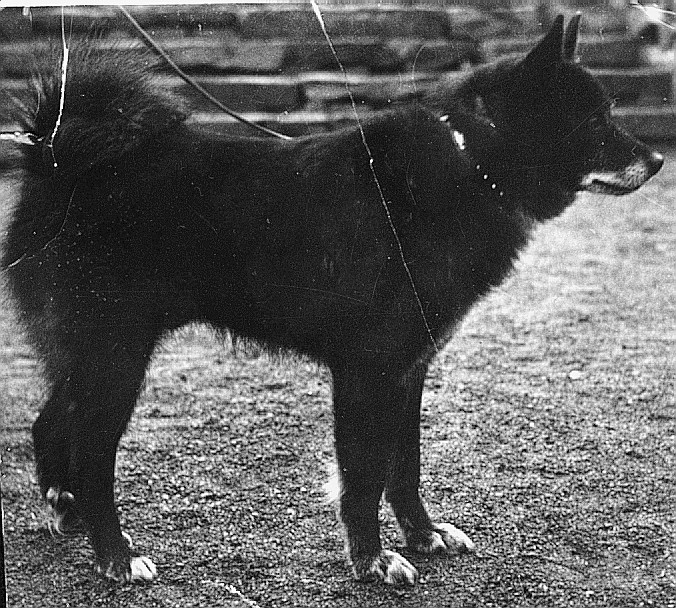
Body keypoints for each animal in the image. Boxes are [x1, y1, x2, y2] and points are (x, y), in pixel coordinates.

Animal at [1, 15, 663, 586]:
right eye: (594, 118)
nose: (658, 160)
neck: (469, 157)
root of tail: (56, 157)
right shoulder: (367, 371)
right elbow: (365, 477)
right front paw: (373, 561)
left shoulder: (408, 371)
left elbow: (404, 468)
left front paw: (422, 536)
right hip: (114, 359)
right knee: (90, 453)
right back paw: (115, 553)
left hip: (88, 357)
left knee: (49, 424)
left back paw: (68, 513)